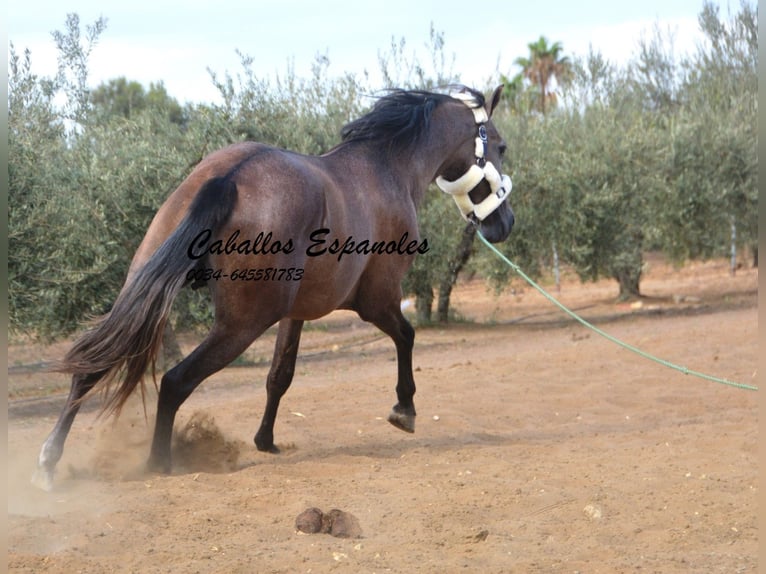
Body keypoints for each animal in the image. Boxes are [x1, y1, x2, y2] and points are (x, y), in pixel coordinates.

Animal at [33, 84, 520, 490]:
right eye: (500, 146)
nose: (505, 223)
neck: (386, 169)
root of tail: (228, 176)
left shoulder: (296, 314)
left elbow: (279, 376)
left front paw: (265, 440)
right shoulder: (377, 300)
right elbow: (407, 336)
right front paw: (405, 410)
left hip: (147, 288)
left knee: (92, 364)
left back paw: (49, 461)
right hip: (241, 325)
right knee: (174, 381)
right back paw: (159, 464)